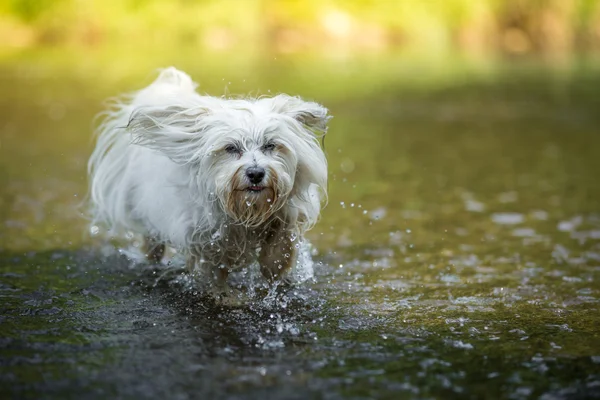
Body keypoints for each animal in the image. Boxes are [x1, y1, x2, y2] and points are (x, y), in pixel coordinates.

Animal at [90, 69, 328, 290]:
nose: (255, 173)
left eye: (270, 145)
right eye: (231, 148)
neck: (243, 210)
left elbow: (282, 237)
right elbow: (214, 272)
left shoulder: (289, 210)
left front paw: (275, 266)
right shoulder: (202, 238)